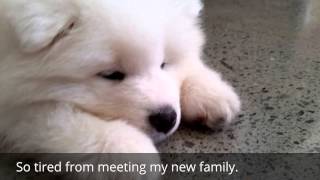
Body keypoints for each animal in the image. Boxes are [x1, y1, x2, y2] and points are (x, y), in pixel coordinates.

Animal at [0, 0, 240, 153]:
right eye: (111, 75)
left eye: (163, 64)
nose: (166, 119)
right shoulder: (17, 109)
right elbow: (61, 120)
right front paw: (130, 150)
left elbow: (190, 62)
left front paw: (212, 94)